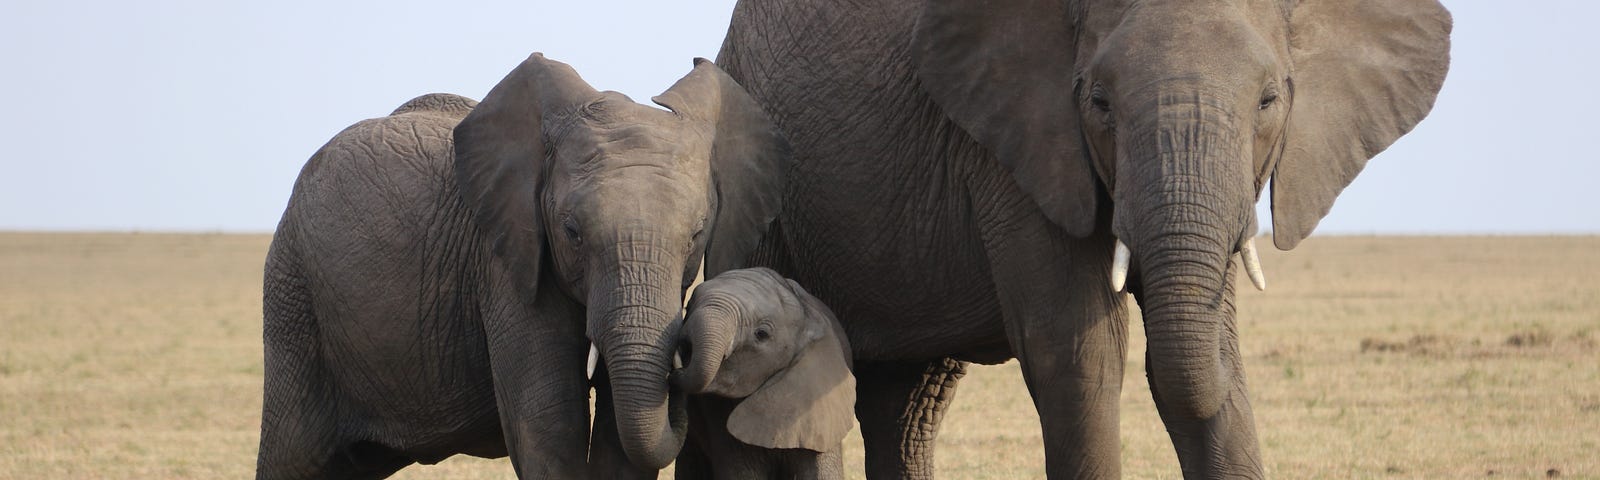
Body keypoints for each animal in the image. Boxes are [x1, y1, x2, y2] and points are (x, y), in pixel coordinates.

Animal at [256, 55, 793, 476]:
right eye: (572, 233)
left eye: (697, 235)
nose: (683, 355)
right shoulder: (504, 262)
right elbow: (550, 420)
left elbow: (620, 431)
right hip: (293, 296)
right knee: (293, 457)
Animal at [713, 0, 1452, 476]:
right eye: (1098, 101)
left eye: (1270, 100)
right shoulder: (1014, 137)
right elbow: (1079, 351)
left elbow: (1208, 353)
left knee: (905, 408)